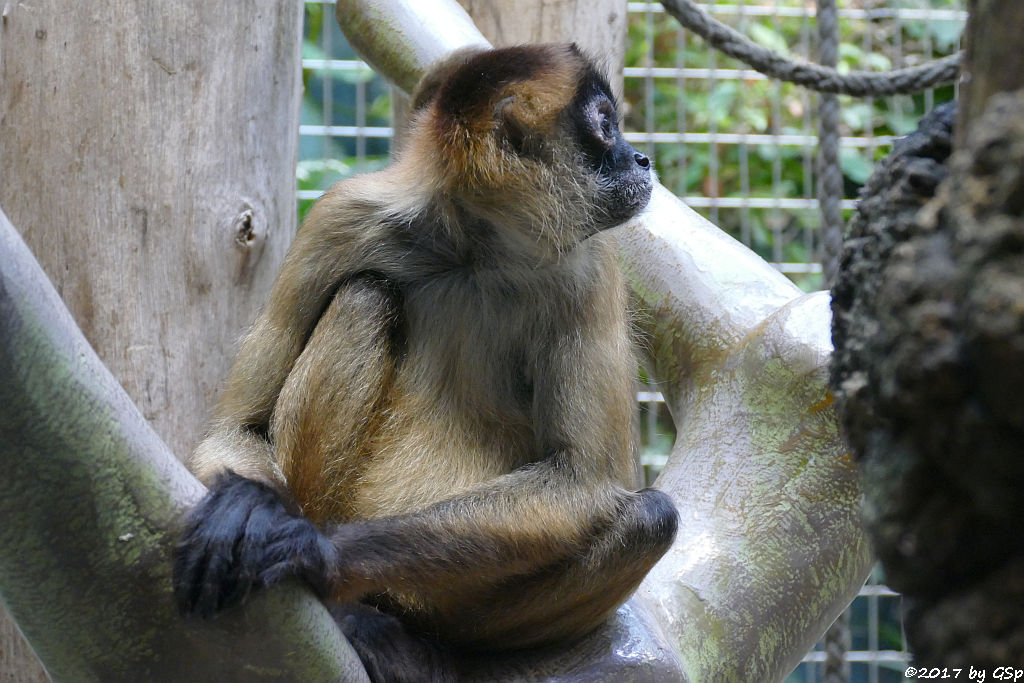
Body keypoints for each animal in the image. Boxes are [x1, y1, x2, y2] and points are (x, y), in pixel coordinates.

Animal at [172, 45, 675, 679]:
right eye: (606, 125)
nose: (641, 158)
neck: (475, 249)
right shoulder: (345, 214)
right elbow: (233, 430)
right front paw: (250, 509)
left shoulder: (590, 264)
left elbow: (585, 479)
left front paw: (315, 550)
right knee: (365, 295)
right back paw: (347, 615)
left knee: (652, 517)